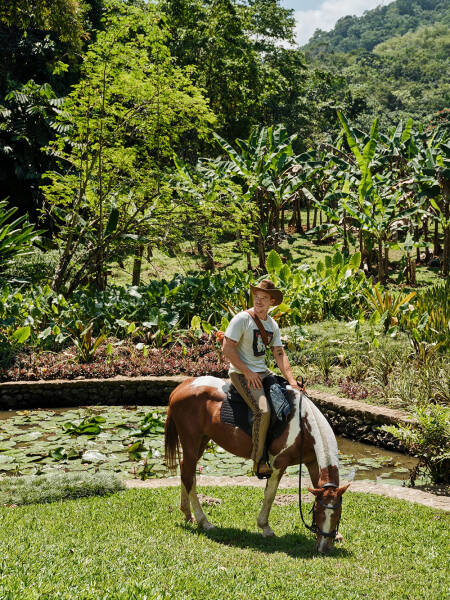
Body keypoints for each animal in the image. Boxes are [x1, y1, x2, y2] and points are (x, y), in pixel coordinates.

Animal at [163, 376, 350, 552]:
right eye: (318, 512)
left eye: (338, 514)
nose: (323, 547)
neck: (302, 425)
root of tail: (180, 388)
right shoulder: (279, 463)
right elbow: (270, 495)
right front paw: (265, 527)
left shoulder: (312, 461)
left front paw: (338, 535)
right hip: (191, 441)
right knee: (189, 476)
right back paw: (204, 522)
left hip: (202, 440)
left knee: (186, 471)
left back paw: (188, 514)